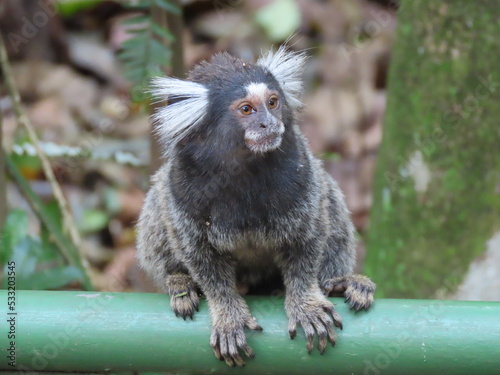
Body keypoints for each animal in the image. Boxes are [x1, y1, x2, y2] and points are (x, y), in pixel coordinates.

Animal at [137, 46, 376, 368]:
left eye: (272, 103)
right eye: (247, 109)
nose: (269, 124)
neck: (245, 171)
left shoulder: (303, 179)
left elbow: (307, 242)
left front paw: (306, 304)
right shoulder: (182, 191)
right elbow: (201, 259)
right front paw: (228, 316)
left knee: (330, 199)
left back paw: (343, 284)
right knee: (158, 202)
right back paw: (179, 282)